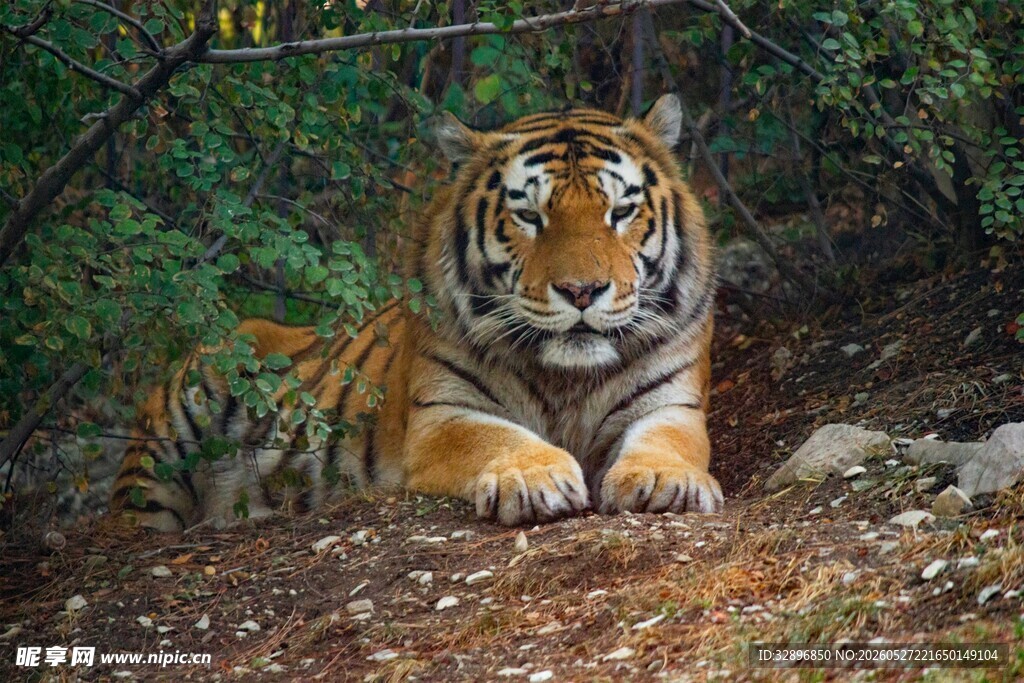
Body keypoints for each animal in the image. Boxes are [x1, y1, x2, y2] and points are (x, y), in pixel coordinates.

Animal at [109, 94, 723, 532]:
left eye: (621, 211)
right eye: (529, 215)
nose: (582, 290)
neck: (566, 379)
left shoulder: (673, 403)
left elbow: (667, 442)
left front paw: (662, 479)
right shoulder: (442, 415)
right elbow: (495, 438)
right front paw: (534, 477)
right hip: (179, 424)